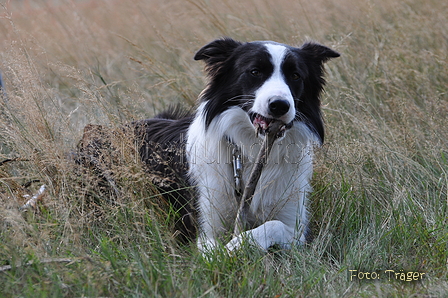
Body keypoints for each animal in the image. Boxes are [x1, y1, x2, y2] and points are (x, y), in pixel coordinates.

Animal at [132, 36, 340, 251]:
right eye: (255, 71)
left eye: (296, 75)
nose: (280, 105)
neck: (251, 149)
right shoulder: (203, 228)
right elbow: (213, 250)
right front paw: (228, 251)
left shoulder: (297, 230)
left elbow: (272, 225)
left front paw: (237, 245)